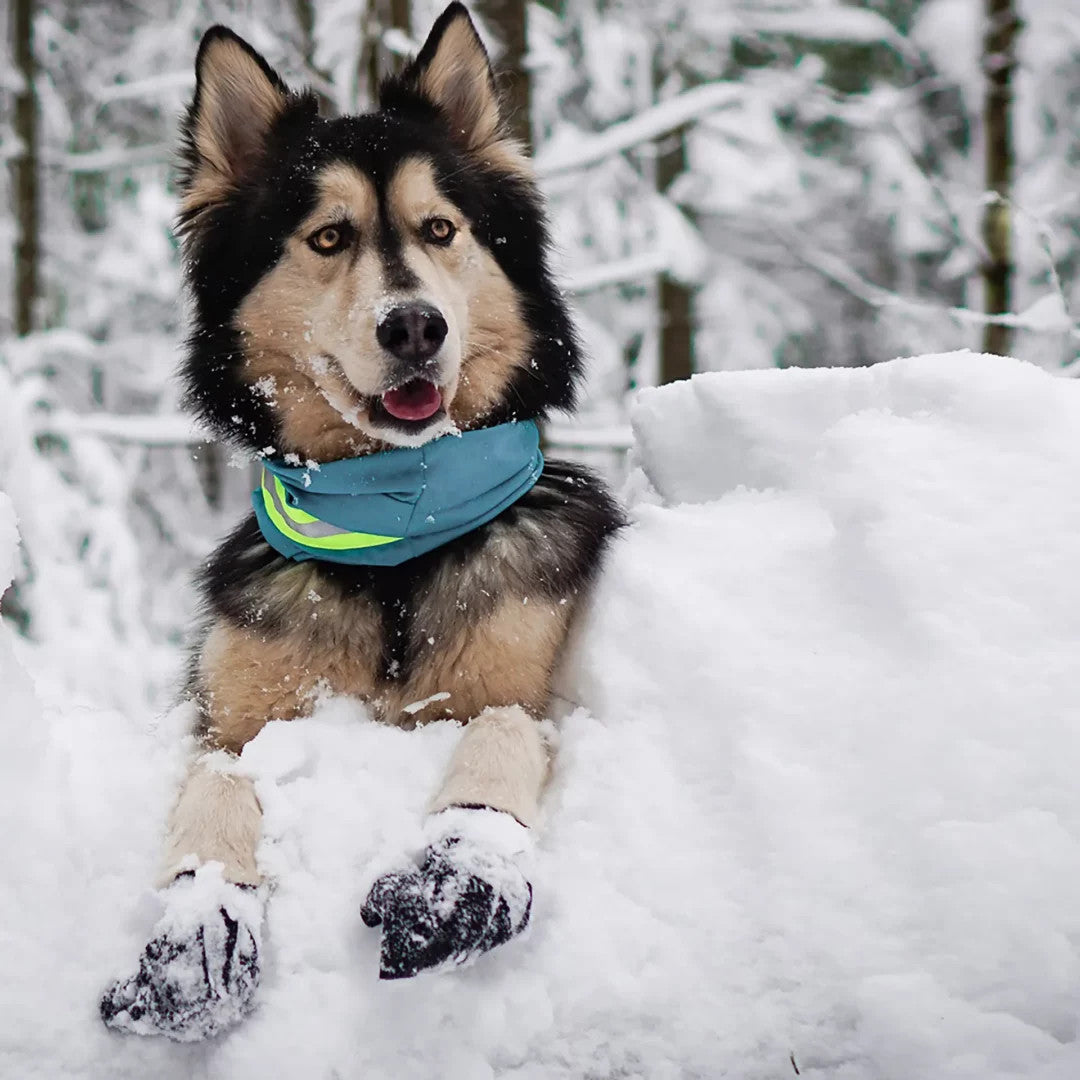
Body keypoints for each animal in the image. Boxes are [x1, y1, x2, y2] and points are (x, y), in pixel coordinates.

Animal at [103, 2, 626, 1045]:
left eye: (441, 229)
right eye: (330, 237)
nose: (414, 325)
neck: (392, 536)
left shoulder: (528, 686)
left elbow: (500, 732)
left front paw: (462, 867)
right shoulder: (232, 717)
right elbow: (219, 782)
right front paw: (199, 921)